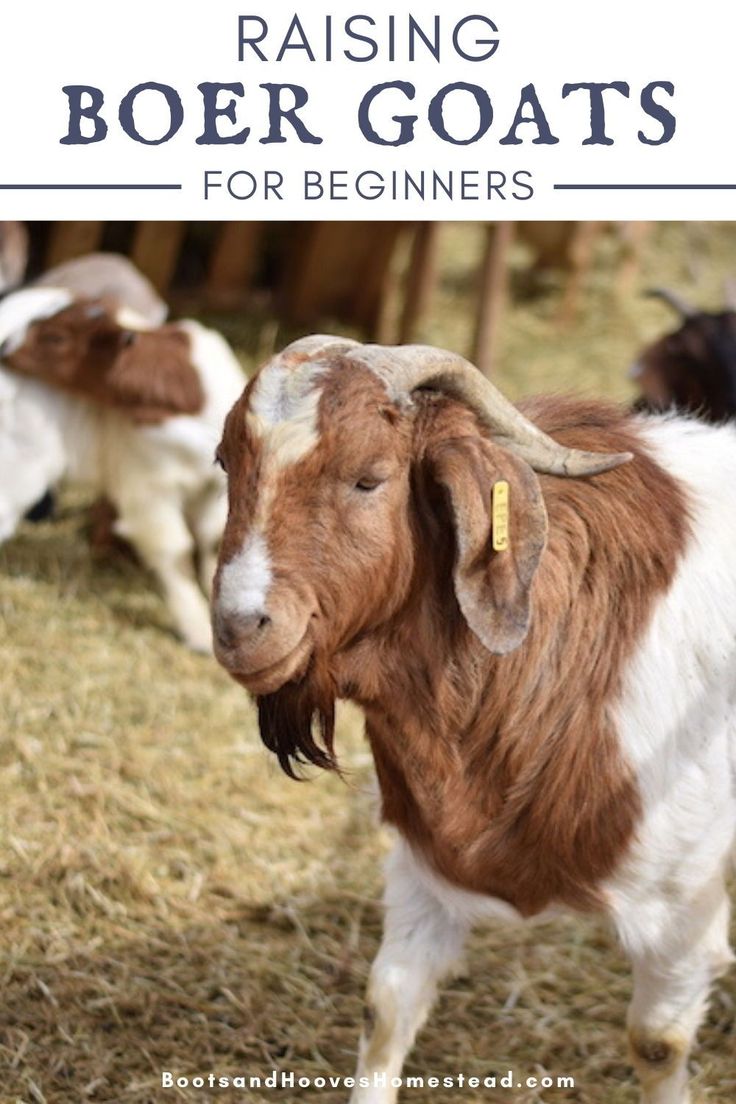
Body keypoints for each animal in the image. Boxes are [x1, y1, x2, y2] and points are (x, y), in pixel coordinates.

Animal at [0, 284, 247, 649]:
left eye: (55, 338)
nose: (5, 347)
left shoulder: (218, 483)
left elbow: (213, 538)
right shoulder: (146, 485)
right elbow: (174, 550)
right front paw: (198, 631)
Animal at [209, 335, 736, 1104]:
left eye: (369, 478)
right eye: (226, 463)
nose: (239, 626)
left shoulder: (682, 903)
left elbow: (657, 1042)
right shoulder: (423, 869)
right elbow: (387, 1007)